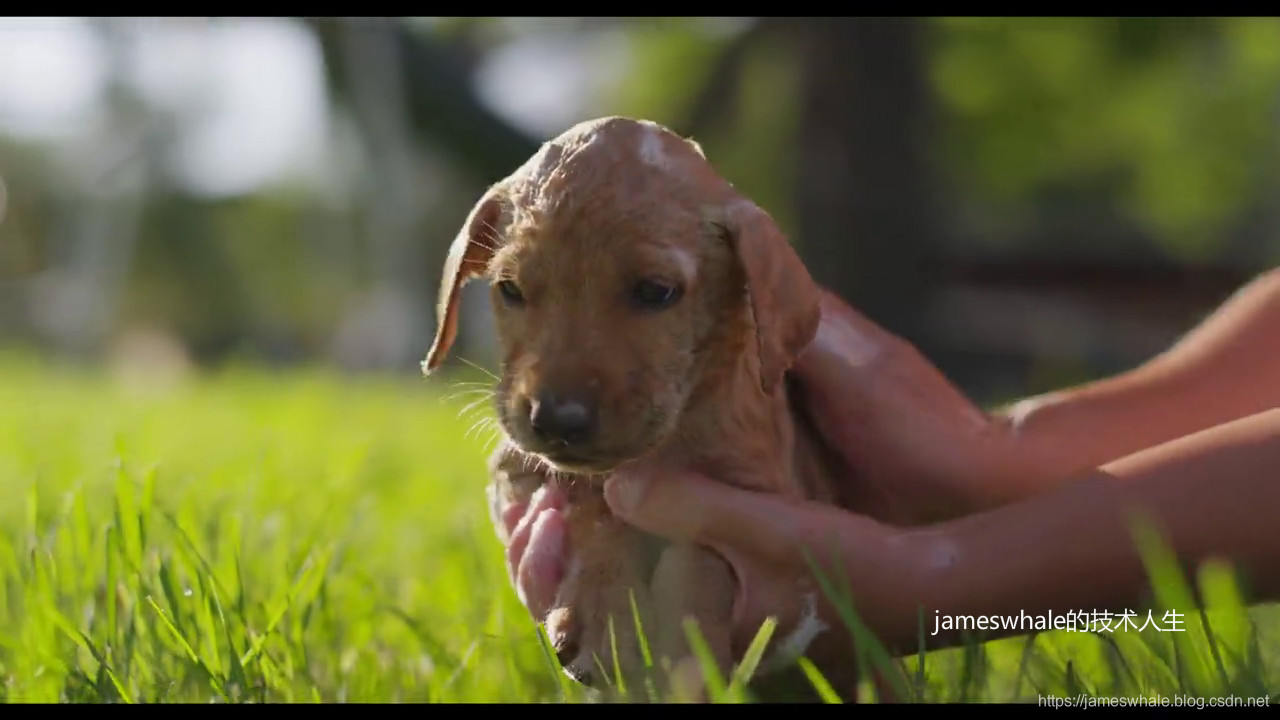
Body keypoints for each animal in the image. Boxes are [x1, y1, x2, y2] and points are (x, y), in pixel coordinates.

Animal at [427, 119, 870, 702]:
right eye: (509, 289)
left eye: (657, 291)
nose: (556, 420)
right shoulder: (518, 468)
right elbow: (593, 504)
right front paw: (606, 618)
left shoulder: (755, 505)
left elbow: (697, 553)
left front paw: (686, 658)